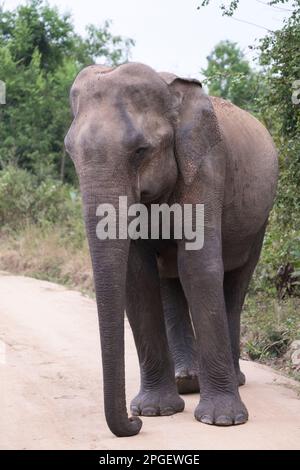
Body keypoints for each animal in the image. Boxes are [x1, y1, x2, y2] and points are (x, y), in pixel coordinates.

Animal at [64, 61, 278, 436]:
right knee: (169, 279)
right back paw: (186, 382)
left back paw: (230, 381)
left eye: (140, 151)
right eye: (70, 153)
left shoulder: (207, 164)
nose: (132, 423)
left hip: (260, 220)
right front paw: (154, 412)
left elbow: (198, 265)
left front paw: (222, 420)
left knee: (236, 284)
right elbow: (138, 276)